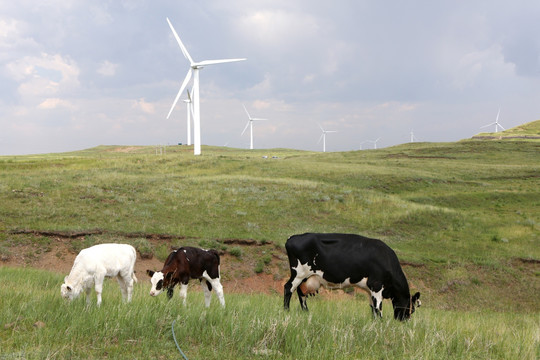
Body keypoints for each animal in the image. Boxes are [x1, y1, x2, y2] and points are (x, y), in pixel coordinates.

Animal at [284, 233, 420, 320]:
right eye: (412, 310)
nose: (404, 321)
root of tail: (292, 237)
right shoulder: (376, 285)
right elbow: (378, 308)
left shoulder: (369, 289)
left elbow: (373, 308)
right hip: (299, 273)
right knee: (288, 288)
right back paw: (287, 311)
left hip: (305, 278)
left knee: (301, 294)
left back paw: (306, 313)